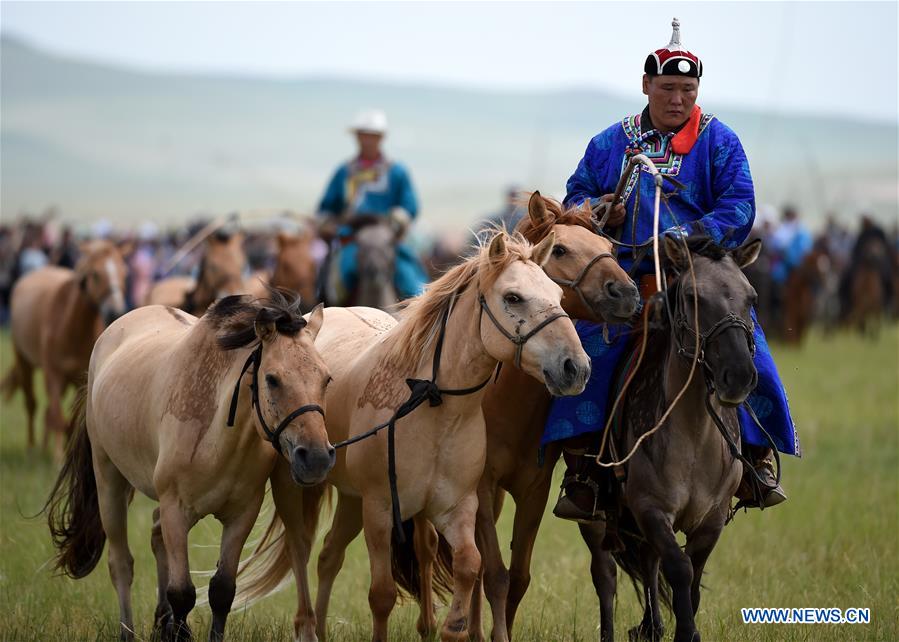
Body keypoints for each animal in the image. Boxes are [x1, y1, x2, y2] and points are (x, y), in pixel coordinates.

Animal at [2, 240, 128, 456]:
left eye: (124, 272)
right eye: (95, 273)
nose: (115, 311)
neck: (70, 325)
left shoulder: (80, 378)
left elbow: (70, 420)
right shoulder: (53, 374)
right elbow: (58, 415)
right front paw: (57, 455)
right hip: (24, 361)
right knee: (32, 404)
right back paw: (32, 447)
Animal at [45, 292, 334, 640]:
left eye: (327, 378)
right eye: (272, 379)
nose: (316, 458)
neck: (218, 433)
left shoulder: (241, 515)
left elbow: (222, 590)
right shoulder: (176, 509)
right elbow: (182, 592)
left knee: (156, 539)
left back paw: (161, 623)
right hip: (108, 481)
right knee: (121, 563)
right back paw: (128, 630)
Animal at [232, 230, 592, 640]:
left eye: (557, 294)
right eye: (513, 297)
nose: (576, 367)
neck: (432, 407)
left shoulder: (457, 507)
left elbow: (469, 564)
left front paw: (453, 626)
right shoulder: (380, 509)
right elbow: (382, 595)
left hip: (351, 498)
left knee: (328, 555)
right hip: (297, 486)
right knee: (300, 548)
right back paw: (307, 624)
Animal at [580, 234, 764, 640]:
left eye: (751, 298)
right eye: (694, 297)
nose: (739, 376)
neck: (695, 436)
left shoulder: (711, 519)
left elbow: (691, 578)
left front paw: (683, 628)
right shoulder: (650, 507)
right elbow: (678, 568)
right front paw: (687, 632)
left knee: (648, 562)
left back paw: (652, 625)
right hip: (596, 519)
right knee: (606, 575)